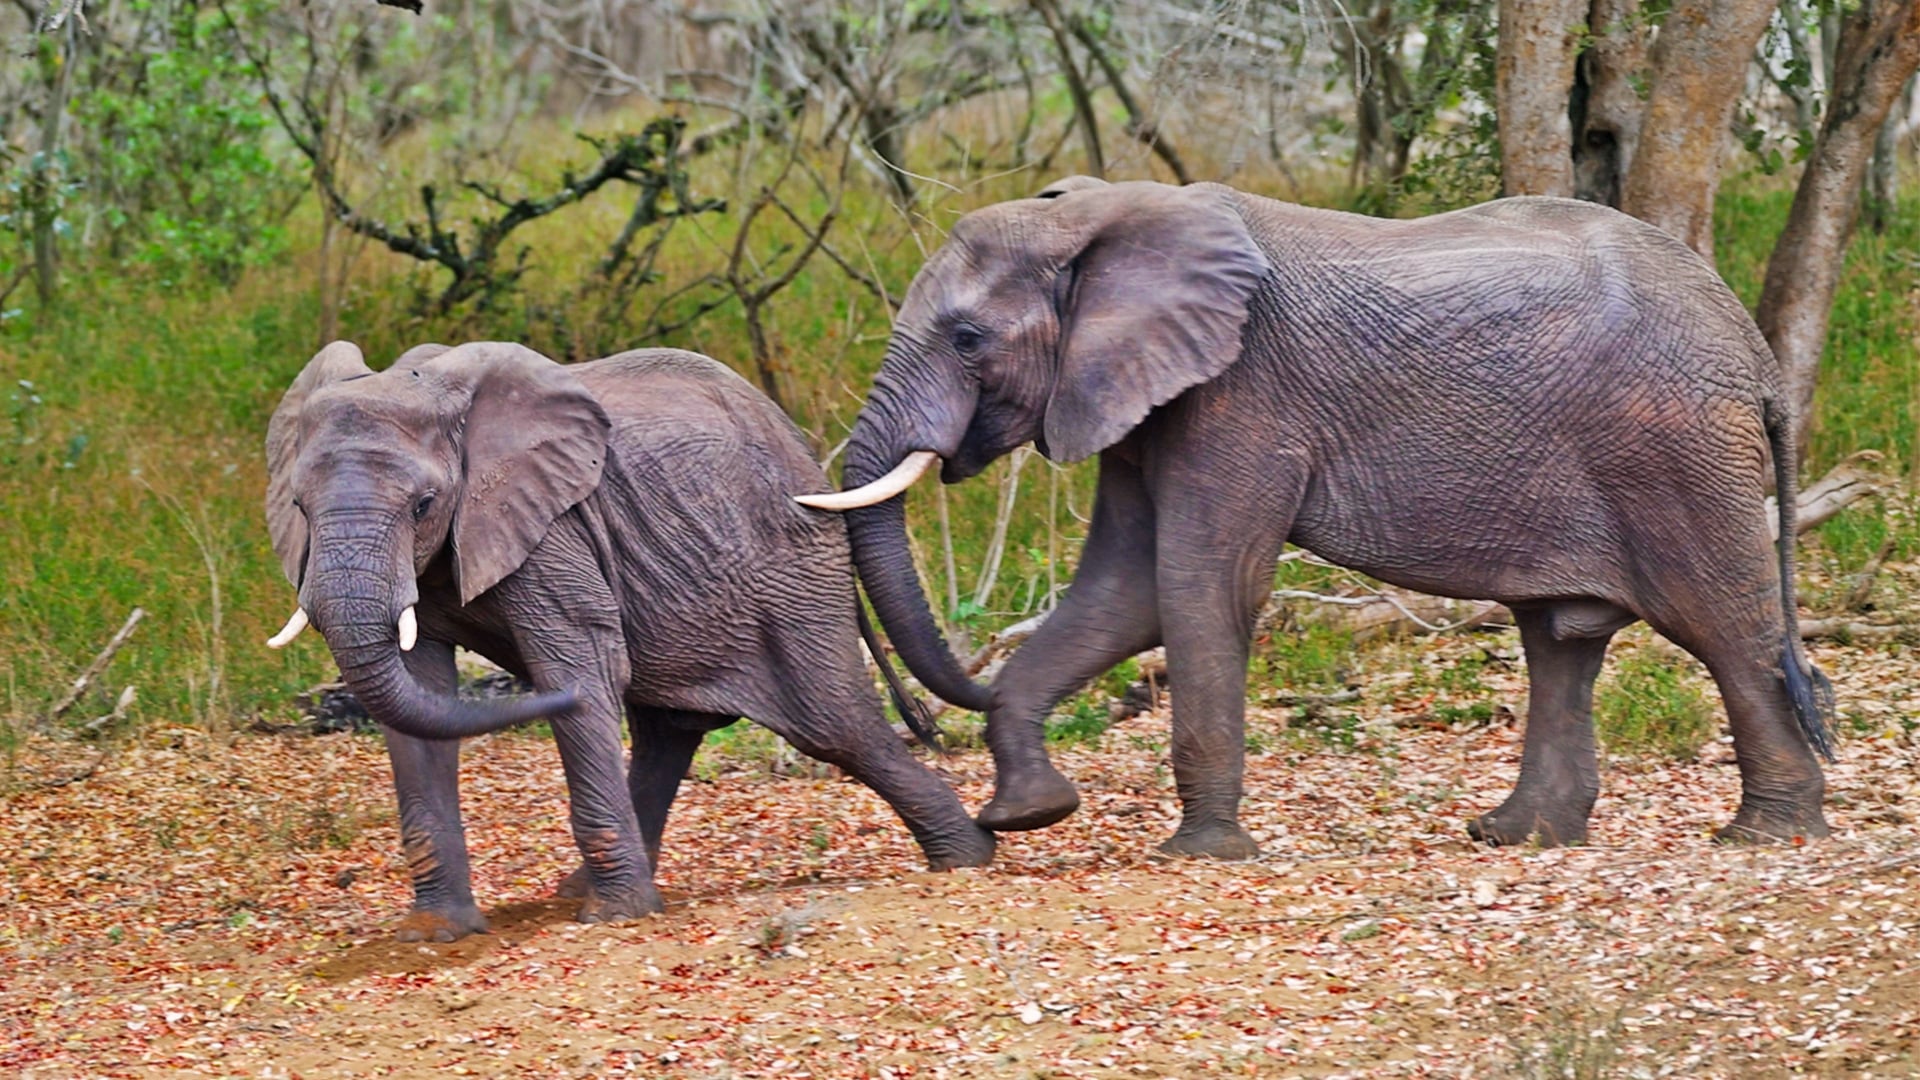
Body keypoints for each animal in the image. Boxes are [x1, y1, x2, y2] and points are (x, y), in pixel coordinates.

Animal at [265, 341, 994, 940]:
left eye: (422, 505)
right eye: (298, 508)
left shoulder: (551, 530)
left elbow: (581, 669)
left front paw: (615, 918)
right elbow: (419, 696)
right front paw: (433, 933)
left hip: (793, 571)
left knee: (835, 723)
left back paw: (968, 857)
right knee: (671, 729)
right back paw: (579, 889)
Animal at [798, 176, 1837, 858]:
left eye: (968, 339)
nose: (926, 720)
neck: (1105, 215)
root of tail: (1751, 347)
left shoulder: (1244, 396)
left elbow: (1198, 586)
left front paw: (1200, 855)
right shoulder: (1145, 400)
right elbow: (1123, 595)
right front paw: (1028, 817)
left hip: (1676, 453)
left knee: (1721, 627)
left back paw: (1763, 835)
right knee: (1561, 640)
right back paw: (1513, 836)